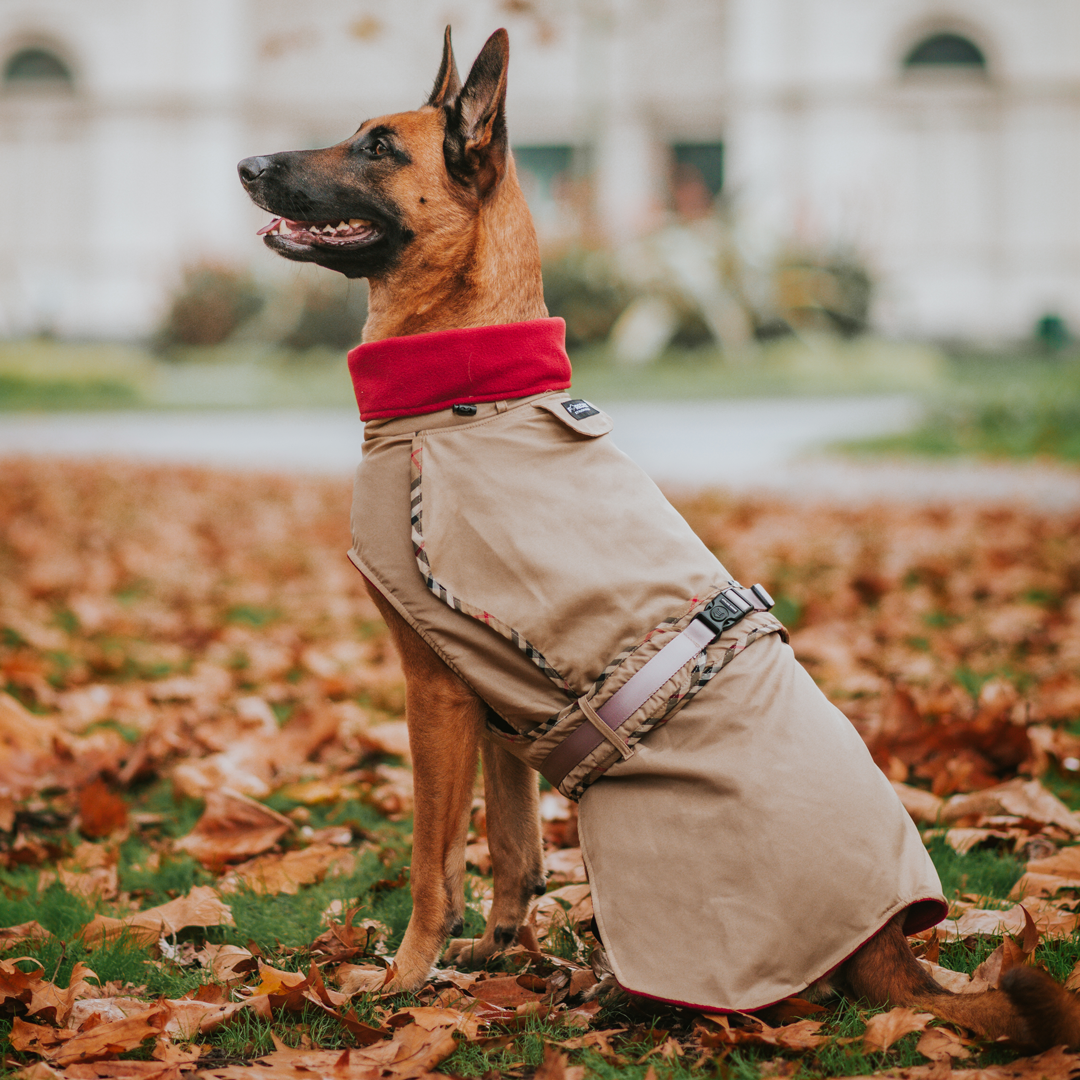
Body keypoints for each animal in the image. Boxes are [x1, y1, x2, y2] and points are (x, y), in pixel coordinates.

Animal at [240, 27, 1080, 1045]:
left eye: (377, 147)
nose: (247, 165)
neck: (464, 391)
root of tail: (890, 945)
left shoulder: (434, 689)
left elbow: (433, 865)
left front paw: (402, 981)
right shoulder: (493, 699)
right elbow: (515, 849)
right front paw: (495, 956)